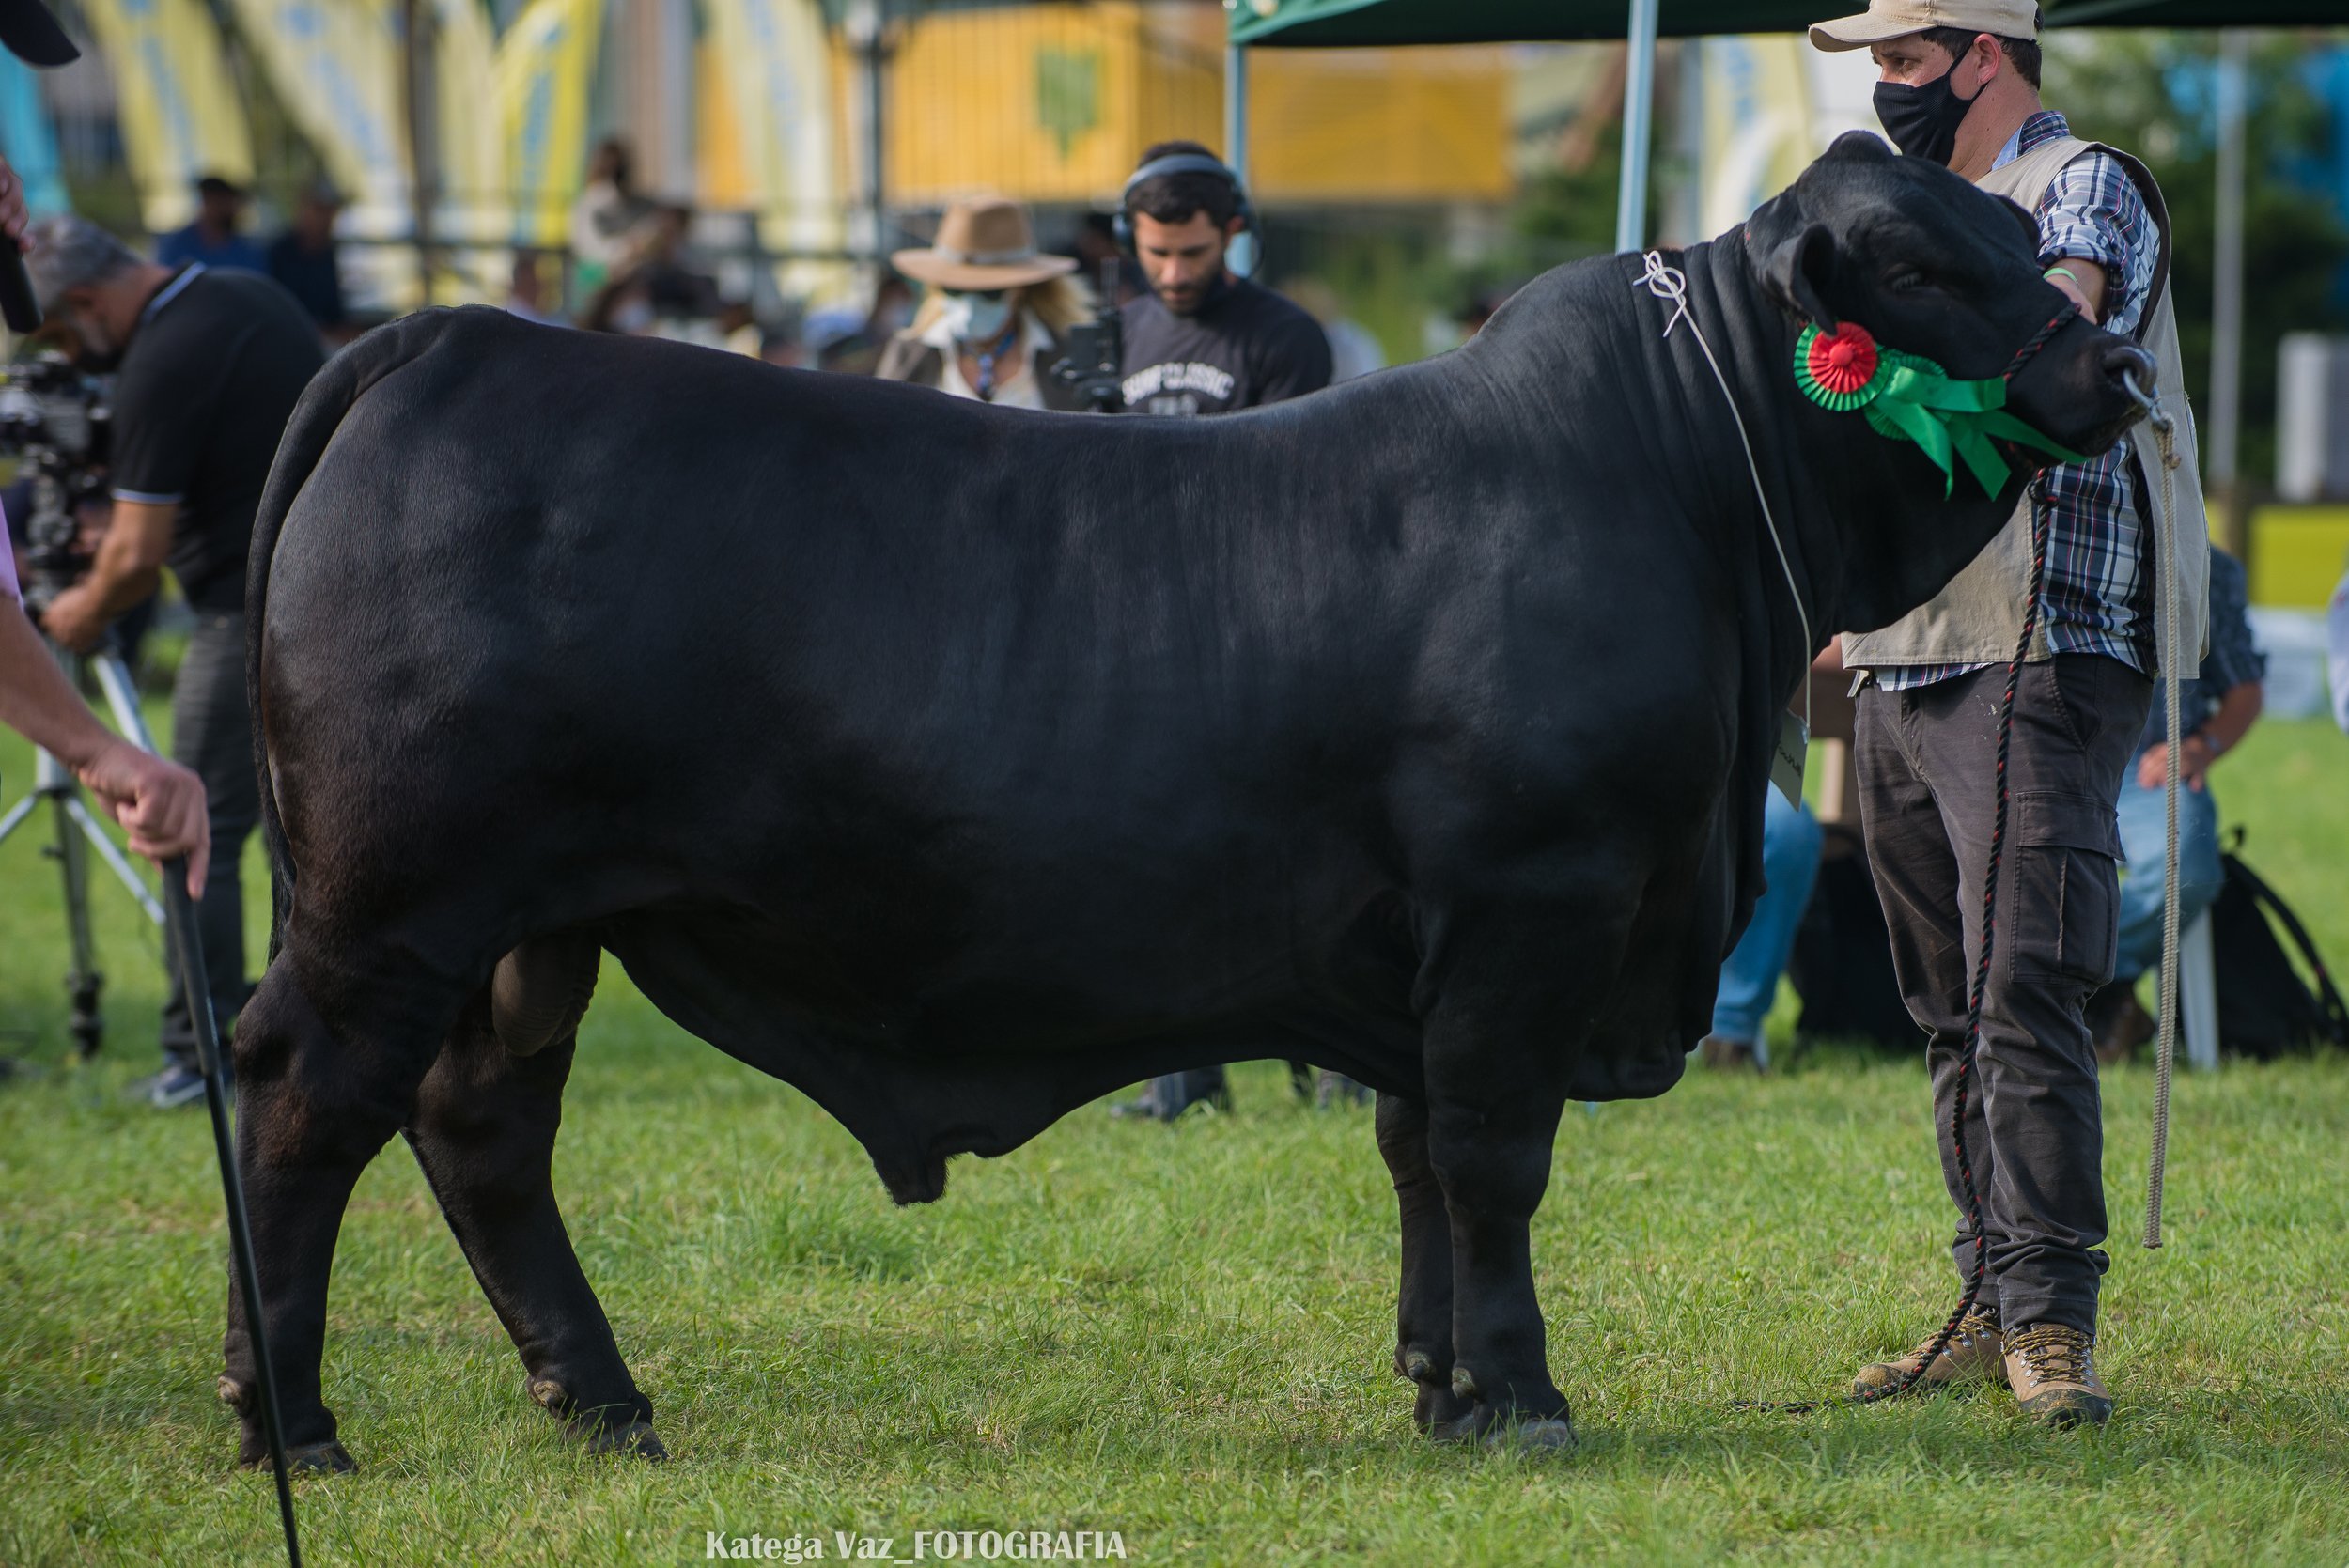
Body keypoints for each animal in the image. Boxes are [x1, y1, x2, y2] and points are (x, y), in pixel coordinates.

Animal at [216, 137, 2152, 1474]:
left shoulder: (1431, 956)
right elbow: (1493, 1158)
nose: (2114, 369)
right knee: (308, 1108)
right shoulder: (1530, 909)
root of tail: (455, 333)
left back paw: (603, 1399)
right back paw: (289, 1420)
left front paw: (1443, 1386)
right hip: (396, 906)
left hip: (532, 927)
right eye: (1916, 258)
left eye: (2027, 232)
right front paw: (1526, 1392)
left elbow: (1414, 1156)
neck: (1678, 473)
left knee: (481, 1127)